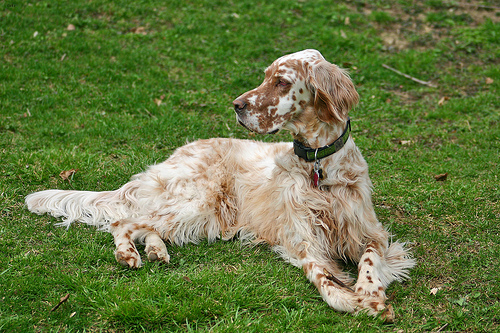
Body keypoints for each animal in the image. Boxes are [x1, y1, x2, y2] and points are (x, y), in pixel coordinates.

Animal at [25, 49, 414, 320]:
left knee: (147, 226)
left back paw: (155, 250)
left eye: (282, 82)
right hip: (200, 202)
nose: (237, 105)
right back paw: (128, 253)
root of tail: (172, 156)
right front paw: (355, 300)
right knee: (123, 221)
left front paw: (368, 289)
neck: (320, 164)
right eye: (265, 76)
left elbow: (369, 258)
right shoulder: (302, 241)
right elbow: (324, 281)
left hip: (204, 216)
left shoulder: (370, 231)